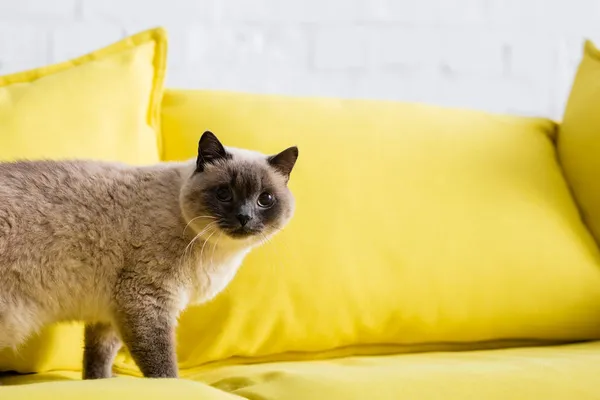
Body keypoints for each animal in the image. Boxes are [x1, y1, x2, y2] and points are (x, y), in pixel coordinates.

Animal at [0, 130, 298, 378]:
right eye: (224, 194)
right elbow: (161, 365)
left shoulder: (111, 310)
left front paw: (98, 383)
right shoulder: (145, 301)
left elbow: (98, 359)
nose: (244, 218)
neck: (219, 252)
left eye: (265, 199)